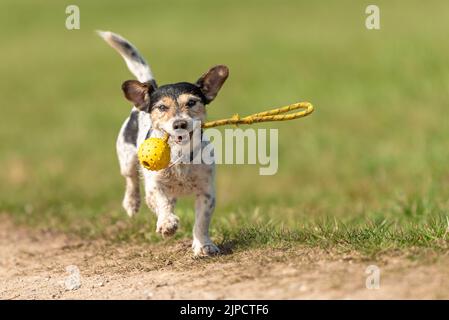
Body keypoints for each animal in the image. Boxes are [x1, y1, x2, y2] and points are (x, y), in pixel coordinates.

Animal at [96, 30, 226, 255]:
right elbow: (161, 201)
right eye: (162, 107)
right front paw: (167, 223)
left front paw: (204, 245)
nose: (180, 123)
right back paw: (132, 203)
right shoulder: (154, 185)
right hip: (126, 157)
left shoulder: (206, 192)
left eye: (192, 102)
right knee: (131, 180)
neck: (180, 156)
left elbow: (201, 222)